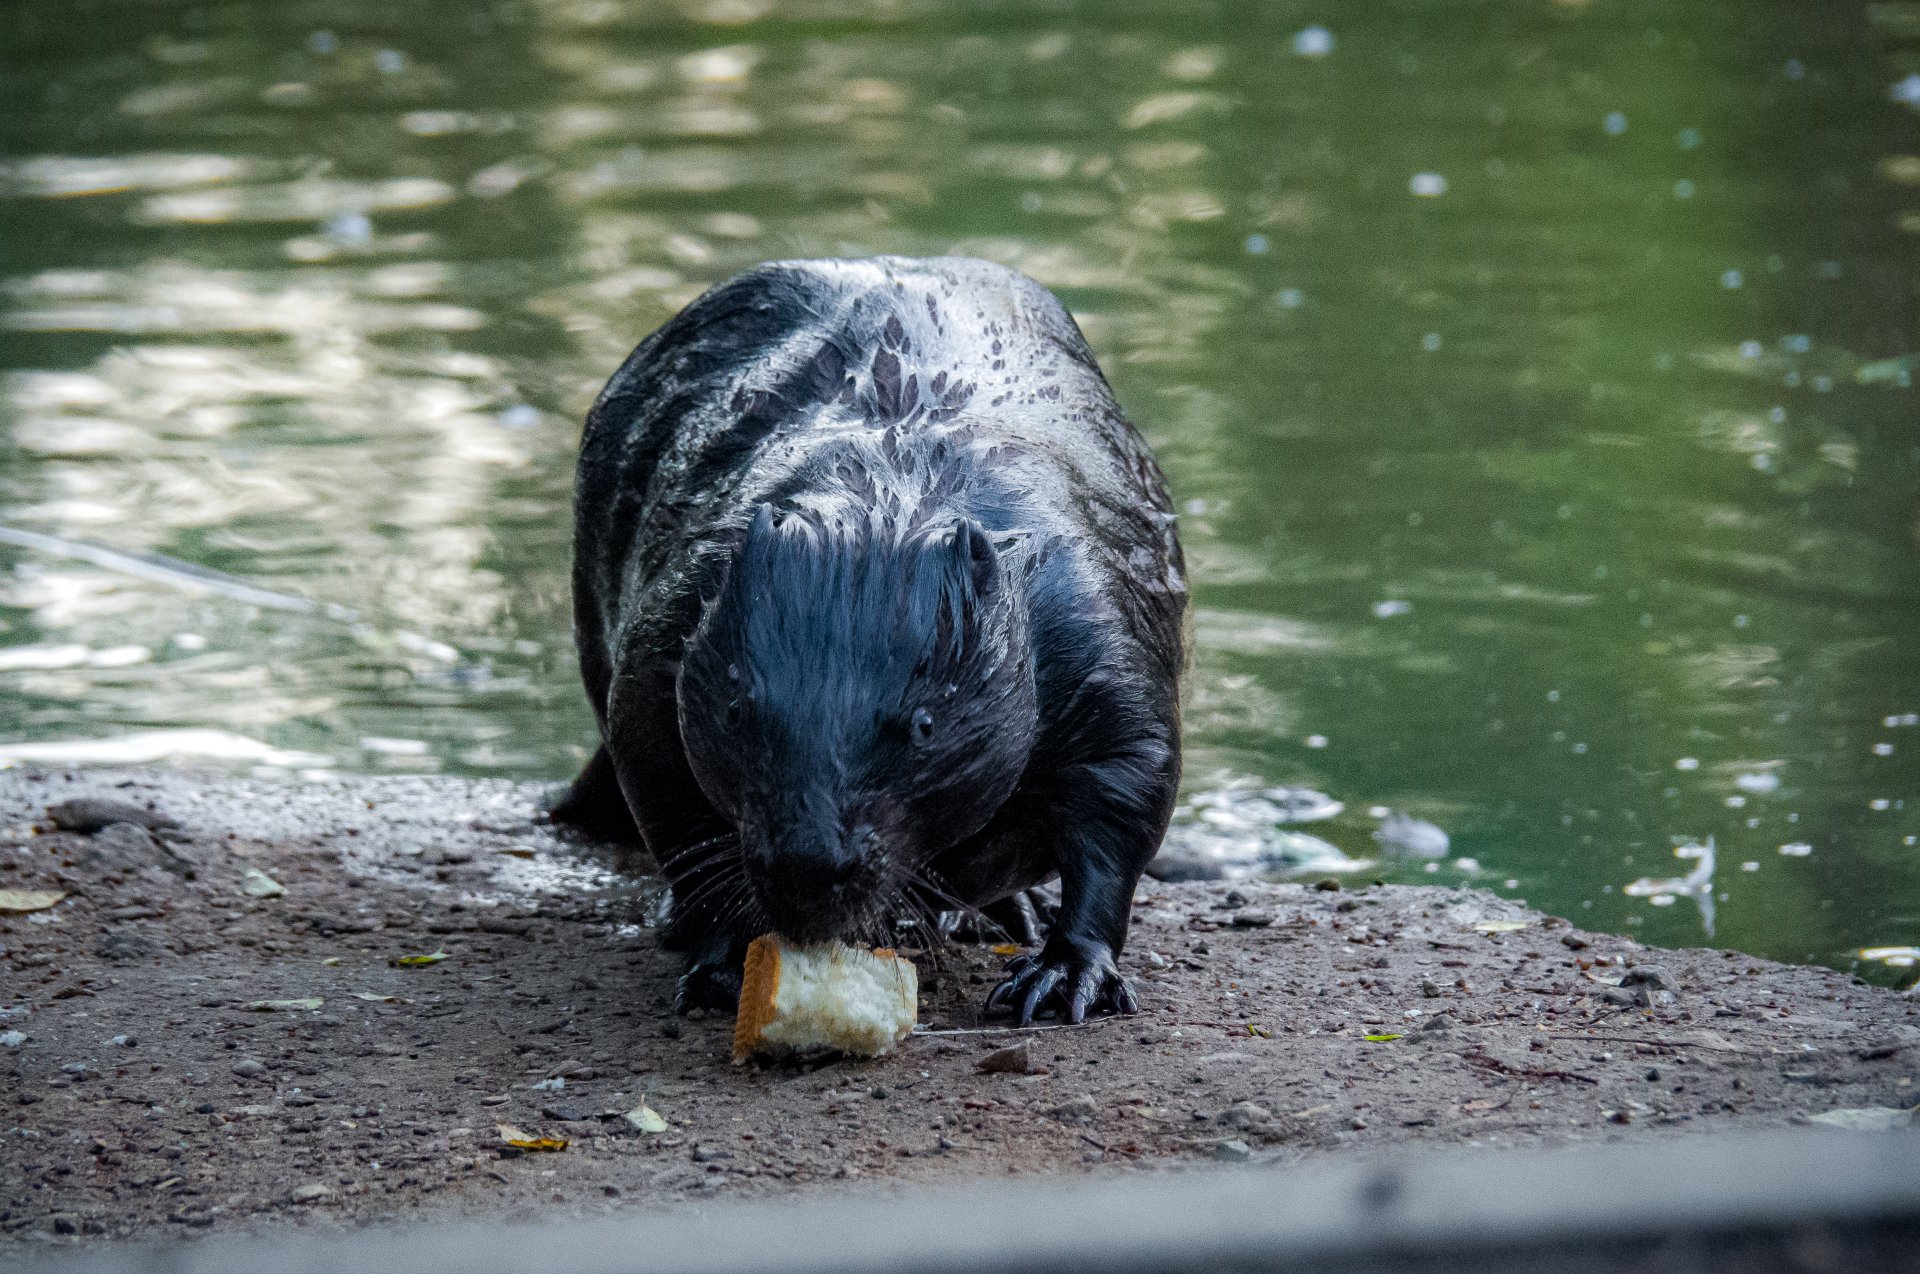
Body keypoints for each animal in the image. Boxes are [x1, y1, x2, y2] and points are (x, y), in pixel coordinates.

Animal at [552, 257, 1182, 1028]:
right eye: (736, 712)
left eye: (923, 725)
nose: (808, 867)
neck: (885, 510)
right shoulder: (669, 636)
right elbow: (665, 791)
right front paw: (721, 968)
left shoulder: (1091, 629)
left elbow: (1125, 793)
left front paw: (1062, 976)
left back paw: (1007, 915)